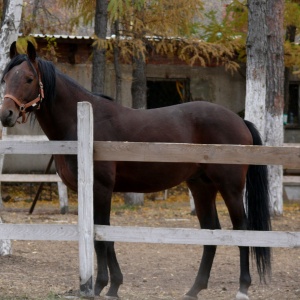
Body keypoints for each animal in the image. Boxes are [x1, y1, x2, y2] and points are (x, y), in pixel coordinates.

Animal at [0, 42, 272, 300]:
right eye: (5, 78)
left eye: (29, 78)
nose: (6, 114)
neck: (83, 124)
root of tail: (240, 121)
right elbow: (101, 234)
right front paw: (110, 286)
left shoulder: (101, 188)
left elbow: (103, 235)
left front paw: (102, 286)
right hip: (201, 186)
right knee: (211, 232)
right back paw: (194, 289)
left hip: (230, 188)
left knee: (242, 230)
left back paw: (242, 288)